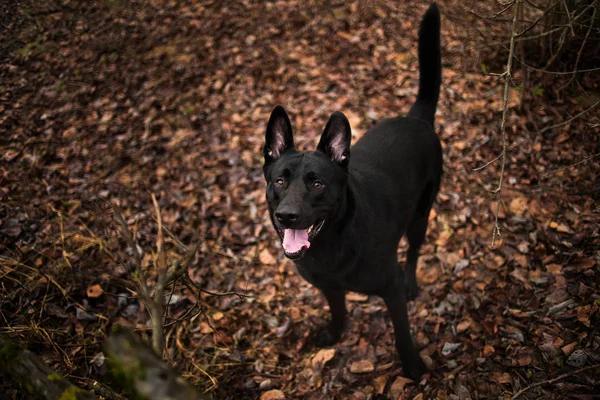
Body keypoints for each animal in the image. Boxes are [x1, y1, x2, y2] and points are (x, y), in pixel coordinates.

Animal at [262, 3, 440, 380]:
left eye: (317, 183)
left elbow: (402, 333)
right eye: (279, 181)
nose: (287, 216)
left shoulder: (389, 288)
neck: (334, 241)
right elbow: (338, 309)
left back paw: (412, 282)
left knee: (414, 250)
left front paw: (413, 366)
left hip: (421, 214)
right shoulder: (329, 286)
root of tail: (417, 118)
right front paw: (335, 333)